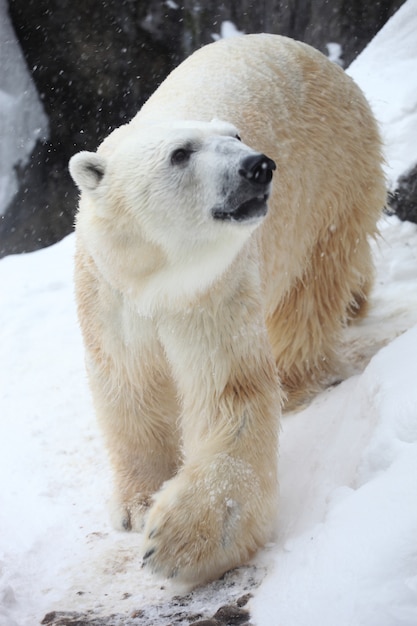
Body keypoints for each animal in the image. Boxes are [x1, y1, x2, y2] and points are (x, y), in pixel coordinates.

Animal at [70, 33, 386, 580]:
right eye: (180, 153)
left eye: (235, 134)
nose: (257, 166)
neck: (159, 277)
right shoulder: (112, 296)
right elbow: (130, 382)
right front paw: (138, 502)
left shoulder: (213, 289)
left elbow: (229, 390)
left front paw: (180, 540)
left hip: (331, 175)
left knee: (312, 285)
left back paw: (298, 376)